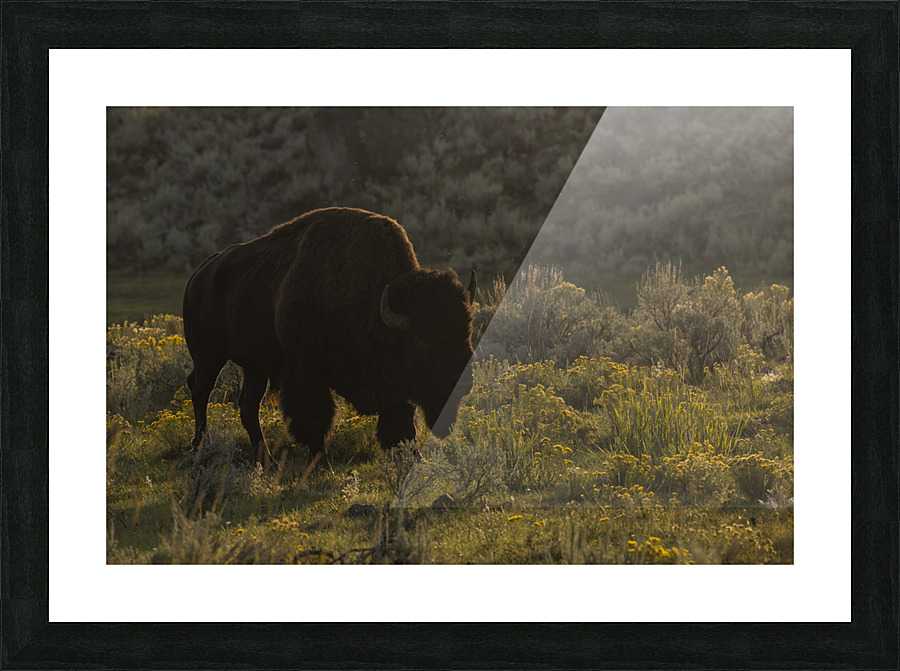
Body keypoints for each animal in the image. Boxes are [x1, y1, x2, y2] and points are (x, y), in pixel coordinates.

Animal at [182, 207, 476, 467]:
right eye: (422, 342)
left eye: (467, 332)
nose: (463, 383)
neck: (372, 310)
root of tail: (200, 273)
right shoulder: (307, 374)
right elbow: (316, 419)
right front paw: (322, 466)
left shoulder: (394, 388)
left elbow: (401, 425)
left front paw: (412, 459)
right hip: (208, 356)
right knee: (200, 390)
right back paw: (200, 448)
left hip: (254, 367)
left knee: (248, 408)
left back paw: (268, 463)